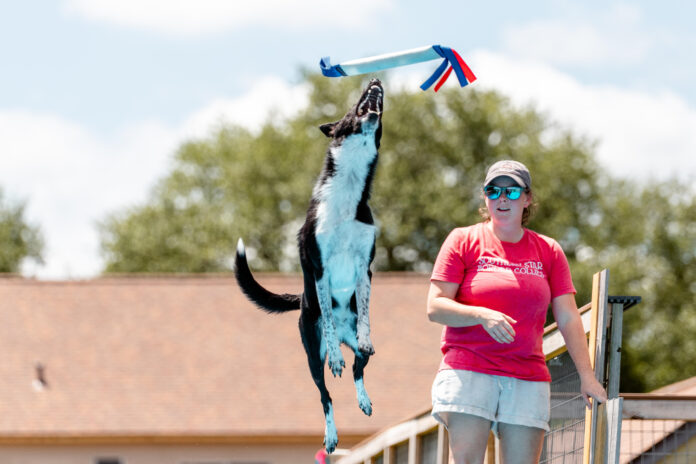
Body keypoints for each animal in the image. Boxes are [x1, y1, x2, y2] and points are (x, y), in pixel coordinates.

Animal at [237, 78, 384, 452]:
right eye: (352, 105)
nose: (376, 80)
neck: (349, 189)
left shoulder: (365, 267)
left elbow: (365, 310)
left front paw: (365, 336)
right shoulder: (320, 268)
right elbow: (329, 320)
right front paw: (335, 356)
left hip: (359, 351)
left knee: (359, 369)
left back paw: (364, 398)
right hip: (310, 357)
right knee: (325, 394)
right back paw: (331, 434)